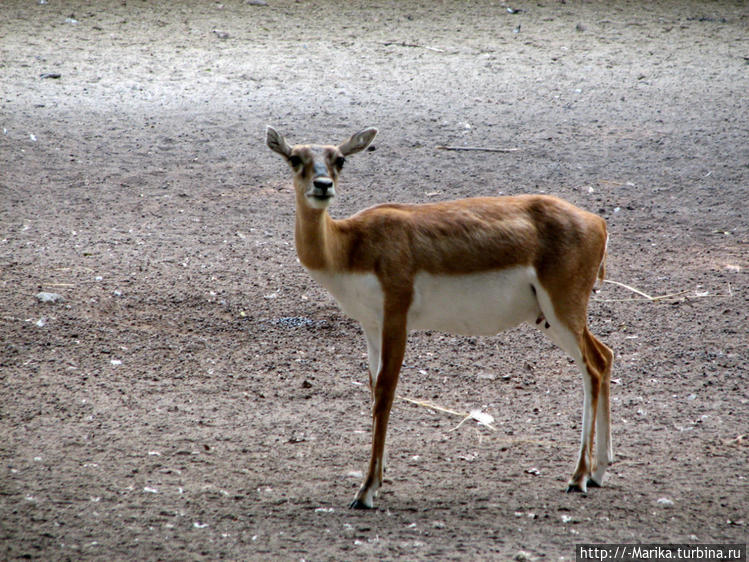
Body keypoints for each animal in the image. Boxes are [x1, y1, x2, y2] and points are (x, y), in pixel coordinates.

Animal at [266, 126, 612, 508]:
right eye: (294, 158)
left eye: (339, 159)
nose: (323, 185)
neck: (350, 246)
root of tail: (598, 221)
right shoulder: (370, 325)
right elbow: (372, 389)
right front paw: (378, 479)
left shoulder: (396, 316)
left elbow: (385, 393)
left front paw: (366, 490)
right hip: (549, 317)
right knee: (605, 356)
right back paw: (597, 473)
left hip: (563, 309)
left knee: (592, 367)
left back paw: (578, 477)